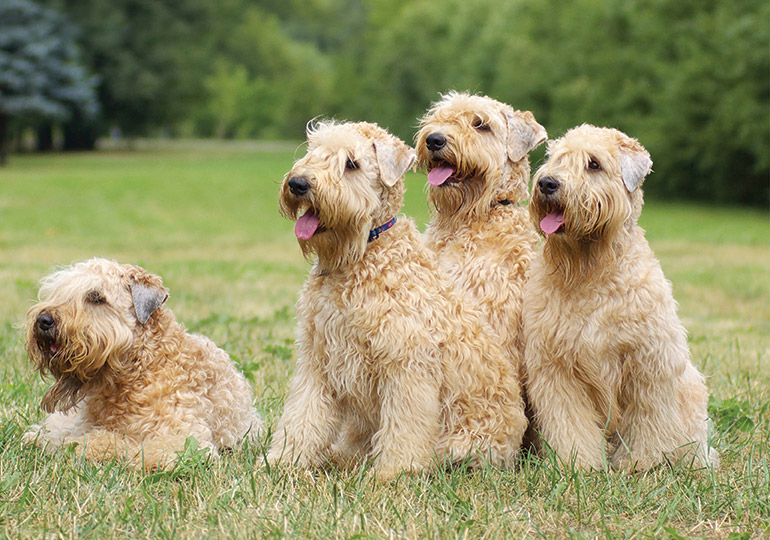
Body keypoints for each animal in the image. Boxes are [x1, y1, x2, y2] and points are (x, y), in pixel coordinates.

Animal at [268, 120, 524, 478]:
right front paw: (283, 461)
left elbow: (405, 425)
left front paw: (394, 472)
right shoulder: (318, 357)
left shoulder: (406, 365)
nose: (298, 183)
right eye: (314, 152)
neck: (361, 255)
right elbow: (303, 416)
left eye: (351, 164)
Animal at [520, 124, 716, 470]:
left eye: (593, 164)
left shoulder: (648, 362)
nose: (547, 183)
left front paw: (641, 463)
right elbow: (571, 424)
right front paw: (579, 465)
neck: (591, 272)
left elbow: (647, 420)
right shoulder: (557, 368)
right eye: (556, 158)